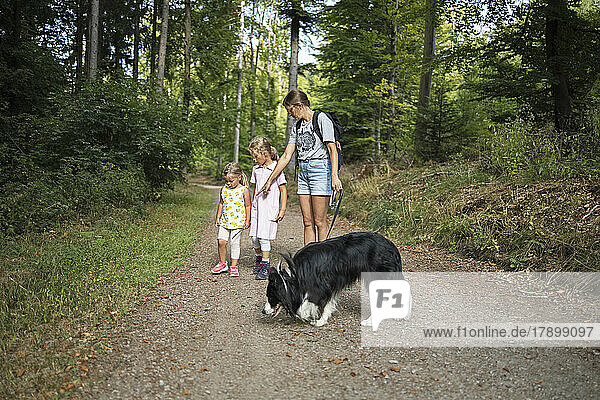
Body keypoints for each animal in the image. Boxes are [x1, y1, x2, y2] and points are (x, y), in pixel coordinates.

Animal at [262, 231, 404, 324]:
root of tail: (392, 247)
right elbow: (327, 303)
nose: (263, 311)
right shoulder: (330, 284)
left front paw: (310, 317)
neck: (293, 277)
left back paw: (370, 321)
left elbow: (310, 303)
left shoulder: (321, 286)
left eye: (270, 296)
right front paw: (321, 320)